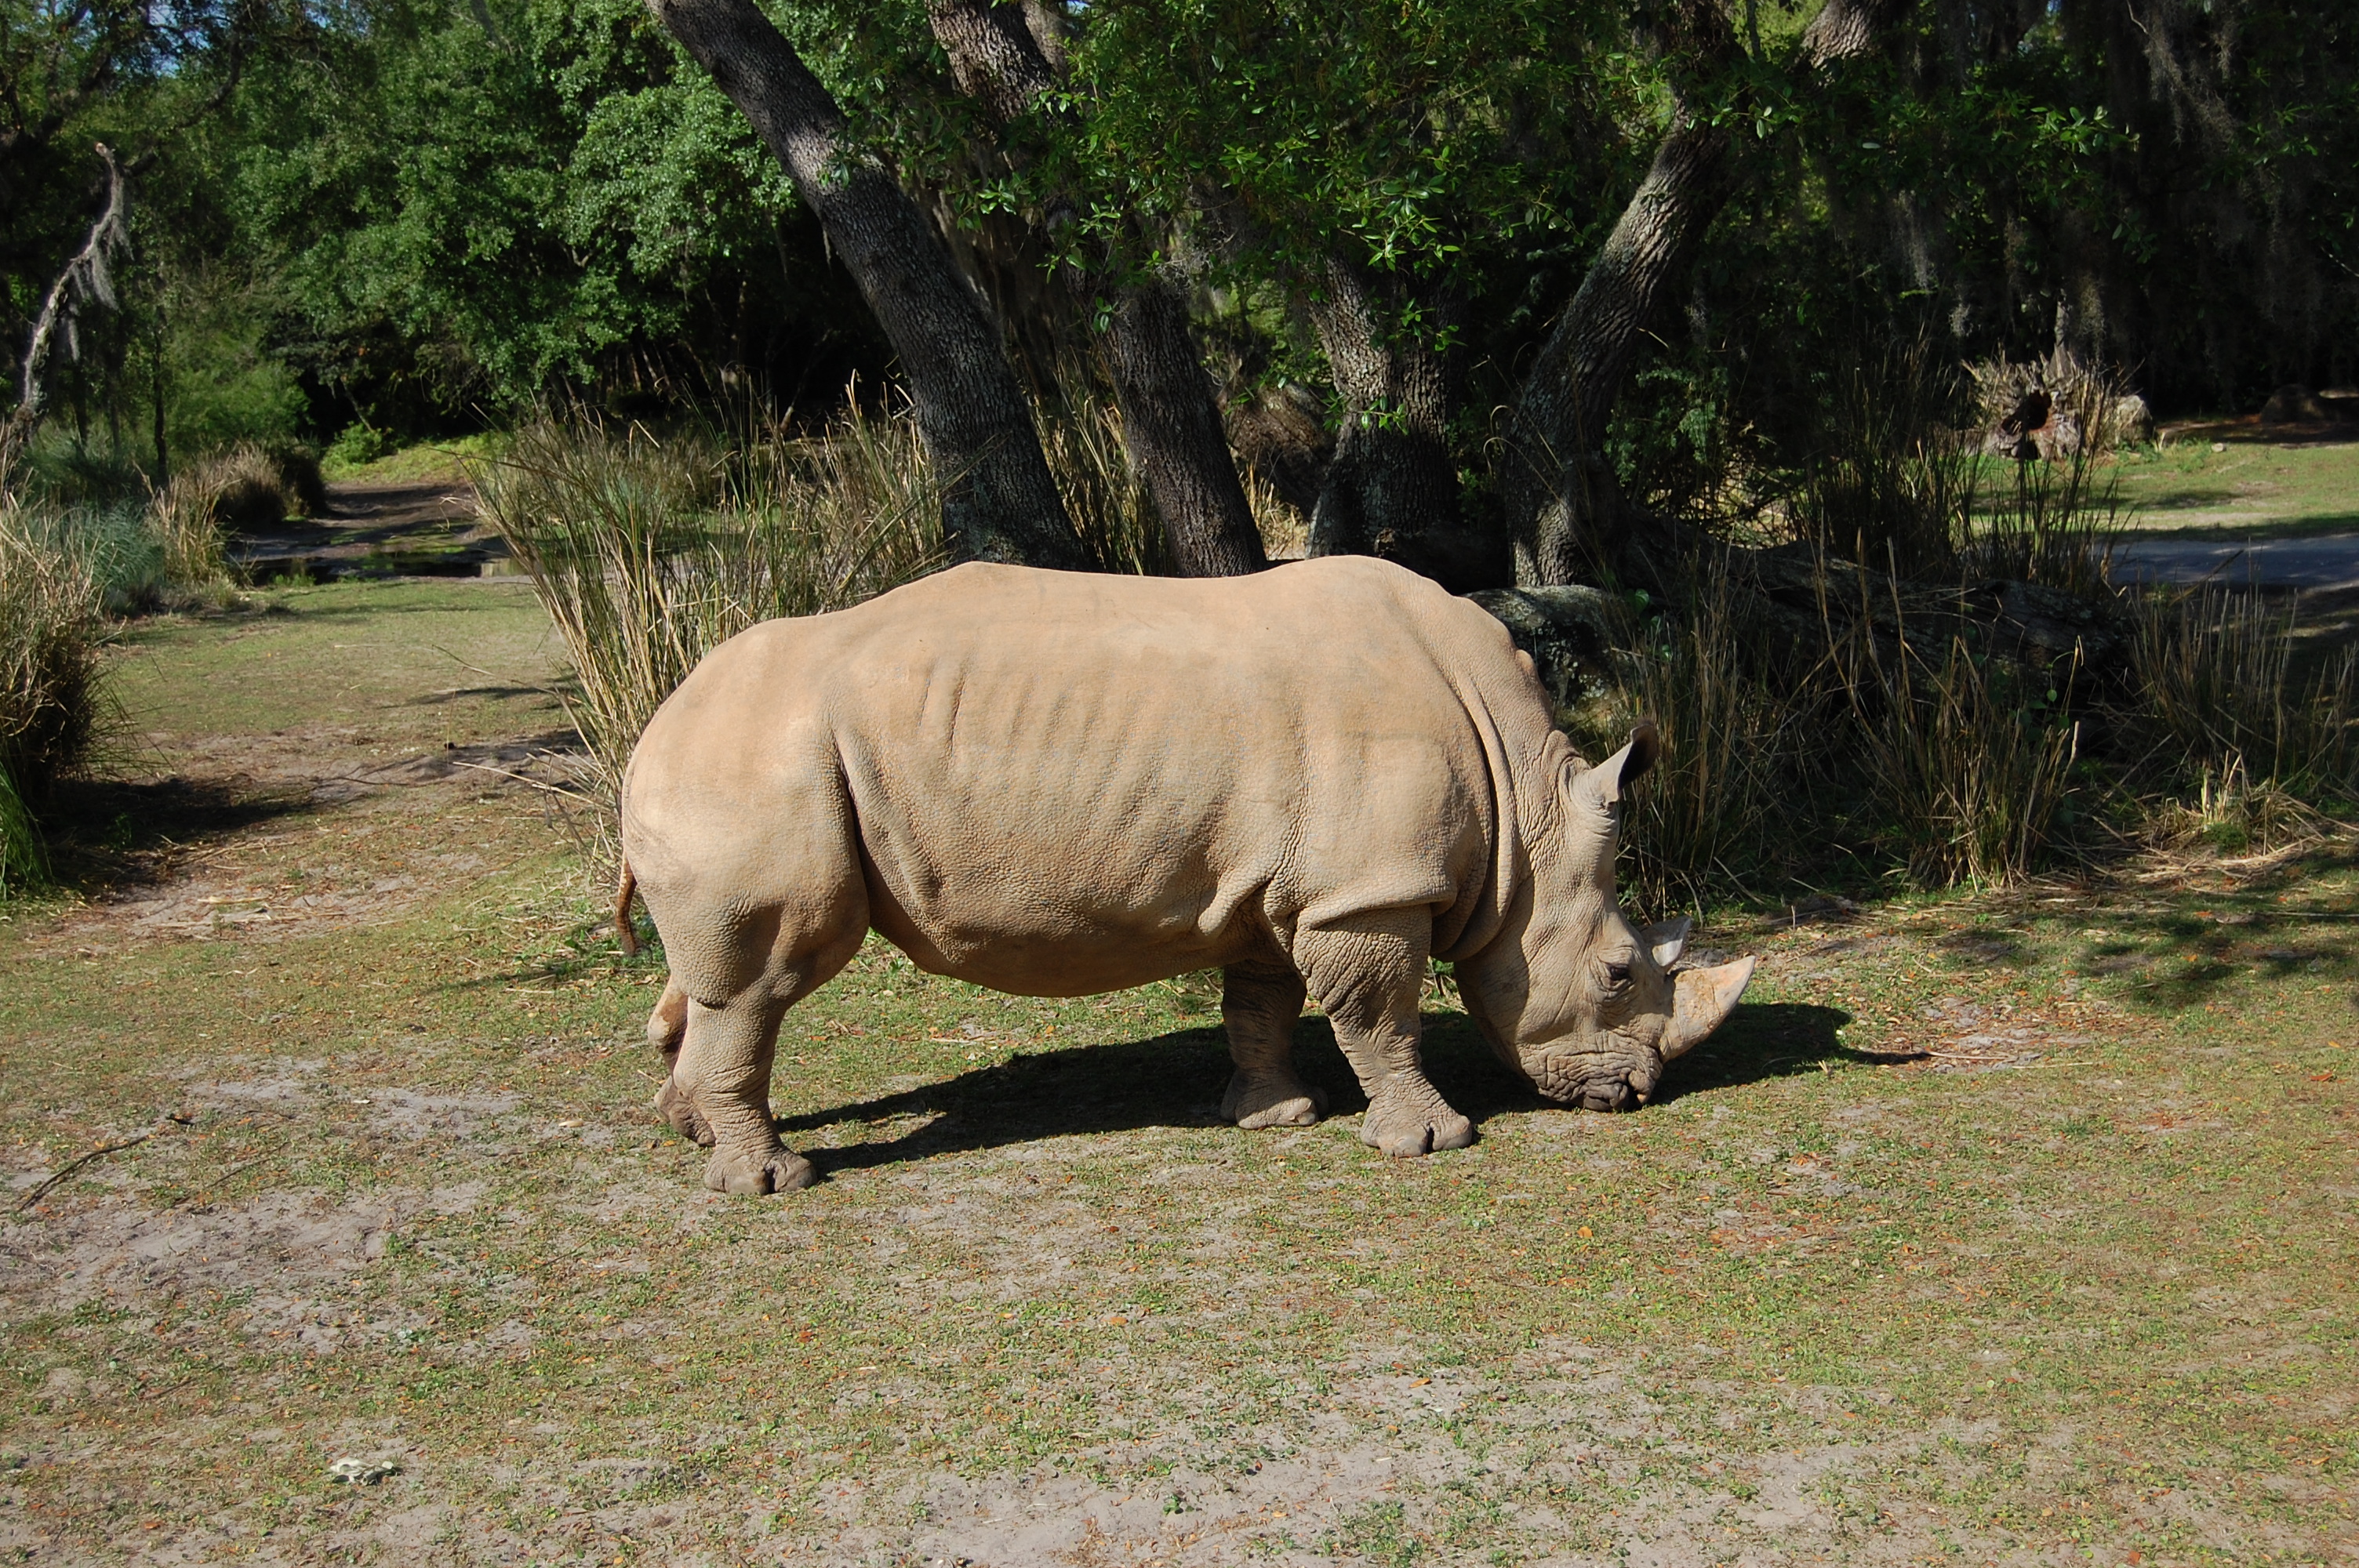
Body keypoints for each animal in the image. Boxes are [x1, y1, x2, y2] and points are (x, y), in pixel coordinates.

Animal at [618, 556, 1754, 1194]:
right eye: (1616, 973)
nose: (1637, 1092)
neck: (1524, 814)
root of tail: (653, 721)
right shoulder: (1367, 891)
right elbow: (1382, 1016)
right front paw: (1432, 1143)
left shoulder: (1284, 889)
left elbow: (1262, 1002)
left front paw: (1275, 1116)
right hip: (765, 757)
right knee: (766, 977)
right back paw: (772, 1183)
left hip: (743, 760)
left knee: (712, 976)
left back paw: (691, 1131)